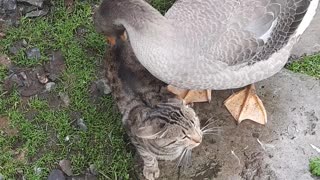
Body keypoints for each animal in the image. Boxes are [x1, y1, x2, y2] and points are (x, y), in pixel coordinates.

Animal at [103, 39, 202, 180]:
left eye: (194, 123)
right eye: (184, 137)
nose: (199, 139)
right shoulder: (133, 134)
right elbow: (147, 155)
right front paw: (151, 168)